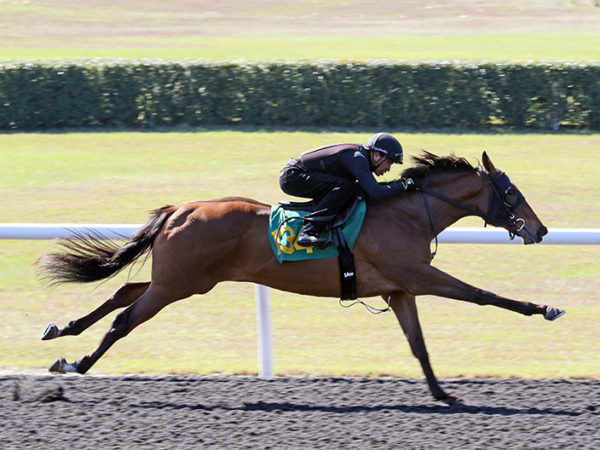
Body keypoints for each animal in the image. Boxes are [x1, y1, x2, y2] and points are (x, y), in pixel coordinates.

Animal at [36, 153, 564, 402]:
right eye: (511, 192)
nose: (540, 229)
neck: (411, 214)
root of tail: (178, 210)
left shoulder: (398, 290)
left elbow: (419, 345)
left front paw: (441, 393)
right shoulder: (418, 276)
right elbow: (482, 294)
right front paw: (544, 308)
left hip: (183, 279)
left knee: (123, 291)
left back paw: (61, 329)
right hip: (178, 285)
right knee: (123, 320)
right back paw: (75, 364)